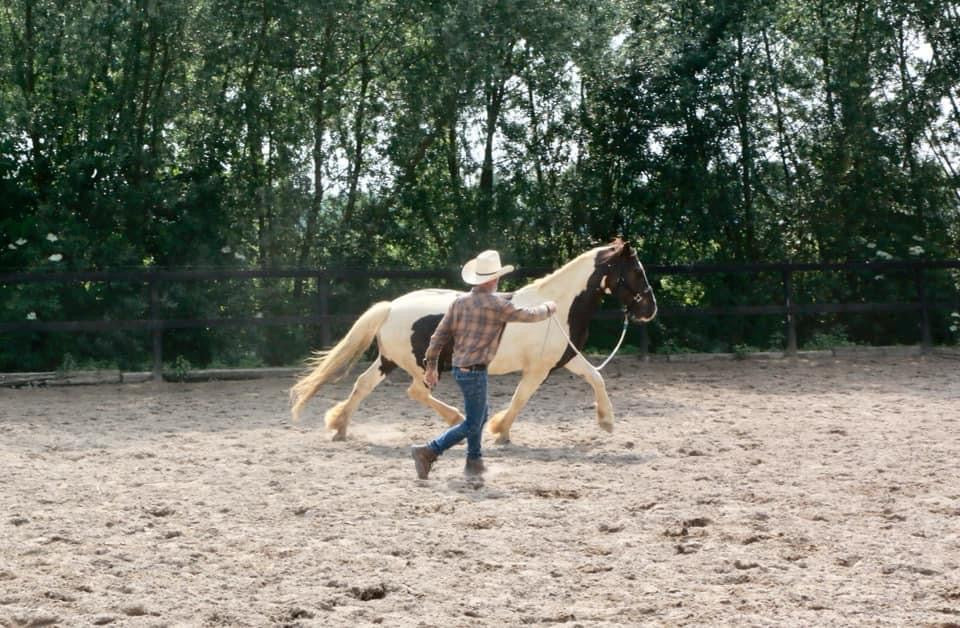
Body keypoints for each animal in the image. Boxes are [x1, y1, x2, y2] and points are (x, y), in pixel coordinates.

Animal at [288, 238, 656, 444]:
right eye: (637, 271)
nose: (649, 310)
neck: (559, 306)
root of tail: (391, 306)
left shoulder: (567, 358)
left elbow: (596, 377)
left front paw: (607, 422)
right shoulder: (538, 370)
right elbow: (521, 398)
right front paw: (500, 430)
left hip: (388, 361)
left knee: (363, 384)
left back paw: (339, 426)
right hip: (423, 366)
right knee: (415, 392)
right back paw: (455, 419)